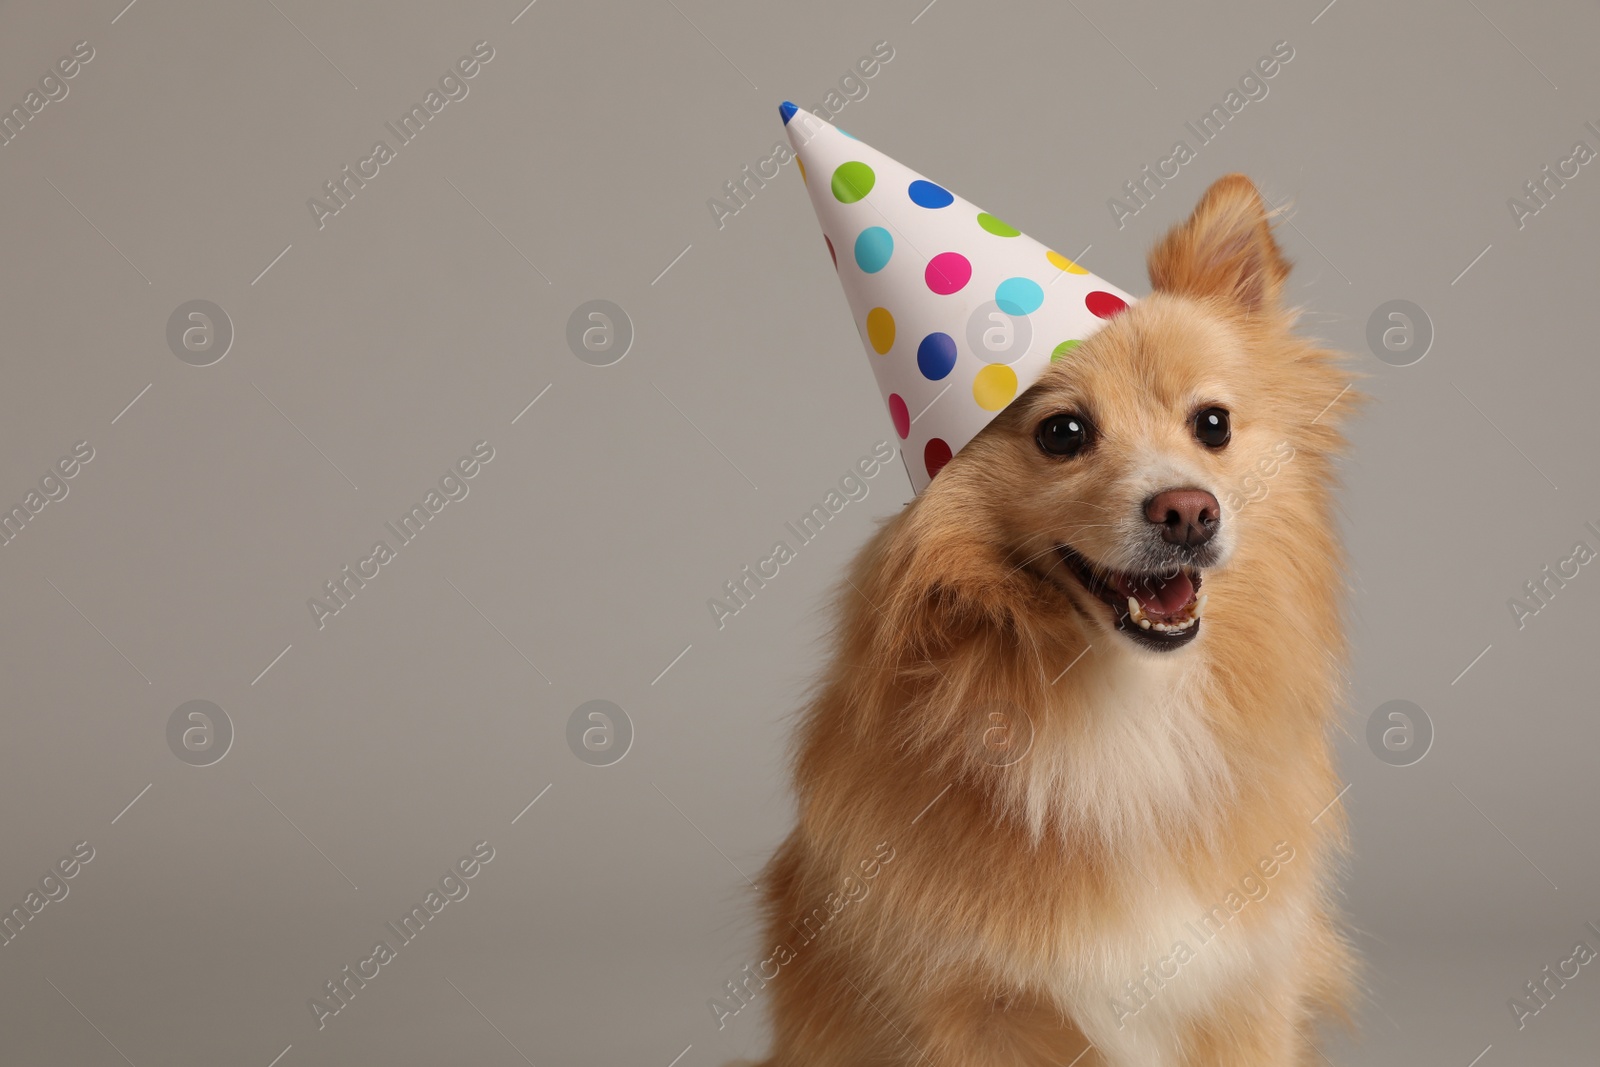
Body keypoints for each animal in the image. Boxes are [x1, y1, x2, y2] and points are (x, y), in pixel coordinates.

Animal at [742, 175, 1356, 1067]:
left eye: (1213, 424)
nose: (1189, 510)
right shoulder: (974, 1012)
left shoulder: (1244, 990)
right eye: (1063, 433)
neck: (1126, 697)